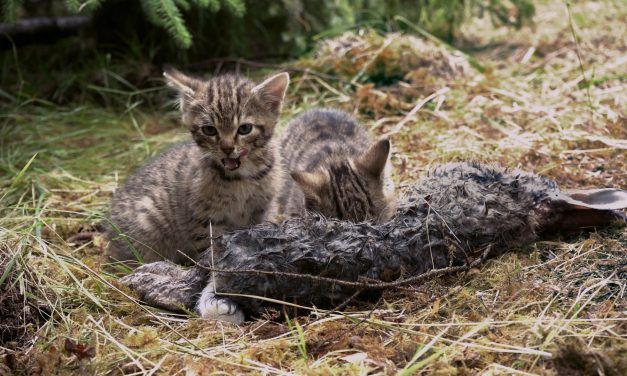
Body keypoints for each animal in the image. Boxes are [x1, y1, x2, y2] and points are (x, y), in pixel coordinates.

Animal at [106, 69, 292, 266]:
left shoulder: (261, 208)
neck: (241, 178)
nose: (227, 149)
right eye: (209, 130)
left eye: (245, 128)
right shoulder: (203, 220)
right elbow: (210, 247)